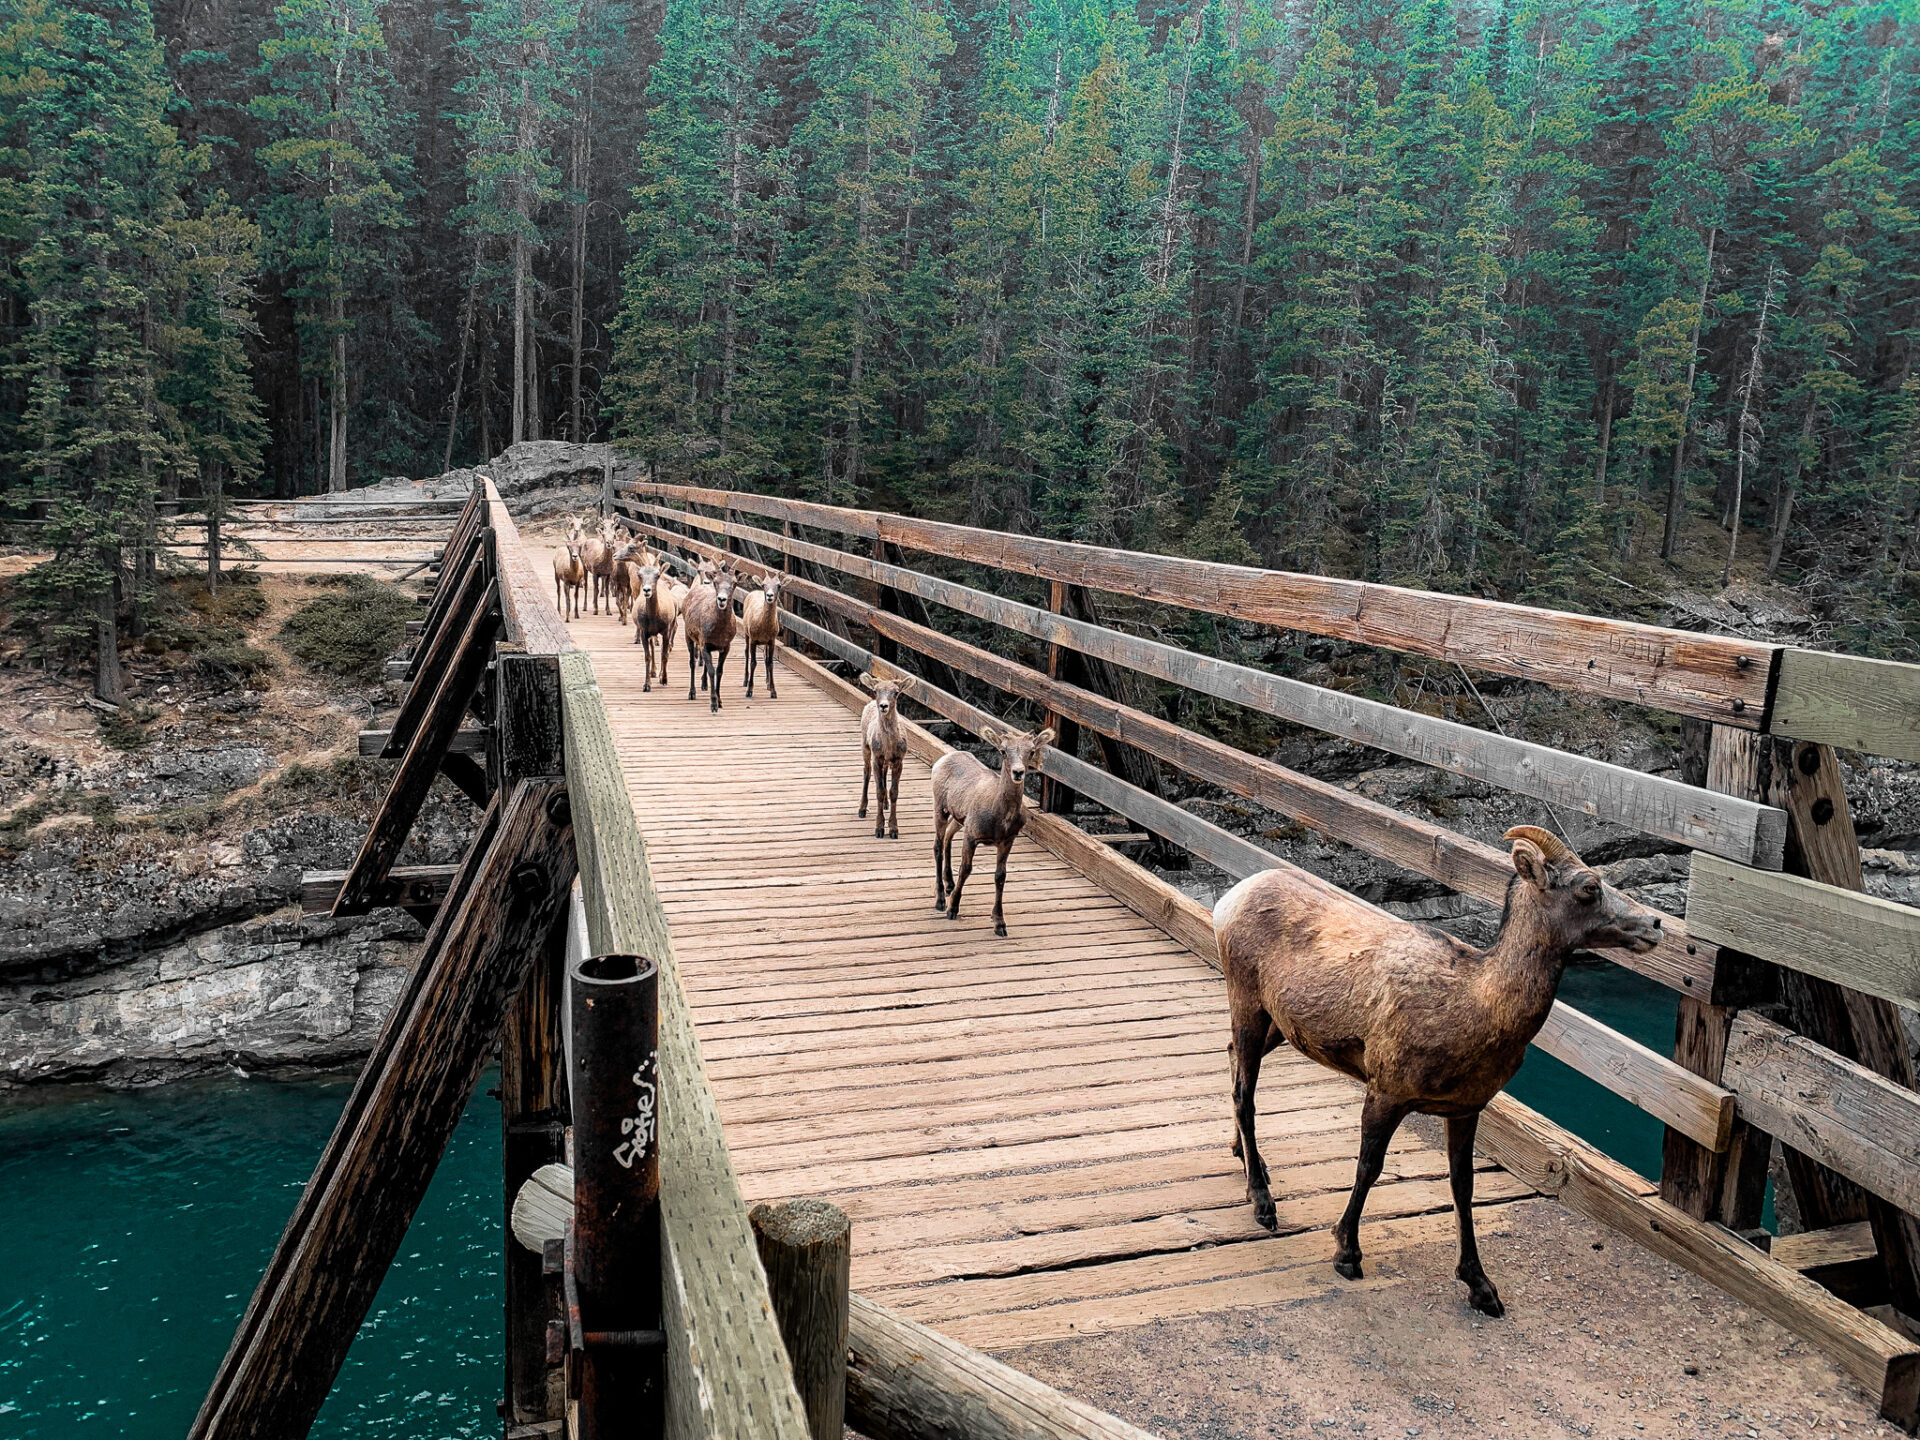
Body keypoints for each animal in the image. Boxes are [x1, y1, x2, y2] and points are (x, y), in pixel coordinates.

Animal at [629, 564, 683, 695]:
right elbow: (647, 656)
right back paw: (653, 672)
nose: (647, 590)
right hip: (651, 633)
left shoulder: (666, 631)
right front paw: (647, 685)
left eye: (657, 575)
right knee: (653, 647)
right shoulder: (644, 632)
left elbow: (664, 655)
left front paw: (664, 679)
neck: (654, 616)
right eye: (640, 575)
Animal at [675, 564, 733, 710]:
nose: (722, 599)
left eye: (734, 583)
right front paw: (713, 704)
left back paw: (704, 684)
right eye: (716, 582)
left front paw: (719, 701)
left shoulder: (726, 646)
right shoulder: (704, 643)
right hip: (688, 635)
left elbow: (719, 671)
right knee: (692, 662)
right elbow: (711, 670)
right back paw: (692, 692)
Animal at [864, 679, 906, 840]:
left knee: (883, 774)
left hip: (886, 762)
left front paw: (894, 829)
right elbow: (879, 791)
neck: (888, 745)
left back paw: (886, 805)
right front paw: (879, 829)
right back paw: (861, 810)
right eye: (875, 691)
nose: (883, 706)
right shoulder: (876, 758)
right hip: (865, 747)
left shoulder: (898, 761)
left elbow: (894, 792)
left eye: (896, 692)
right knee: (866, 773)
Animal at [929, 725, 1052, 940]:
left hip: (959, 818)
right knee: (937, 845)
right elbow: (966, 869)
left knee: (948, 837)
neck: (1000, 817)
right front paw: (952, 909)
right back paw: (941, 899)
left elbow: (1000, 876)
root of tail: (943, 760)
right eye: (1003, 751)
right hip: (940, 808)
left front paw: (999, 924)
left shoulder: (1007, 840)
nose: (1018, 772)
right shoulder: (971, 836)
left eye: (1031, 751)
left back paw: (949, 884)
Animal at [1213, 829, 1666, 1328]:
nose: (1656, 923)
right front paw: (1347, 1254)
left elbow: (1462, 1186)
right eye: (1589, 886)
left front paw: (1482, 1288)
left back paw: (1248, 1161)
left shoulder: (1467, 1108)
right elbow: (1369, 1168)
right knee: (1245, 1092)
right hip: (1247, 1002)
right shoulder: (1385, 1091)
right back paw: (1263, 1203)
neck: (1473, 1004)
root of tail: (1229, 900)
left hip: (1279, 1025)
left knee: (1232, 1060)